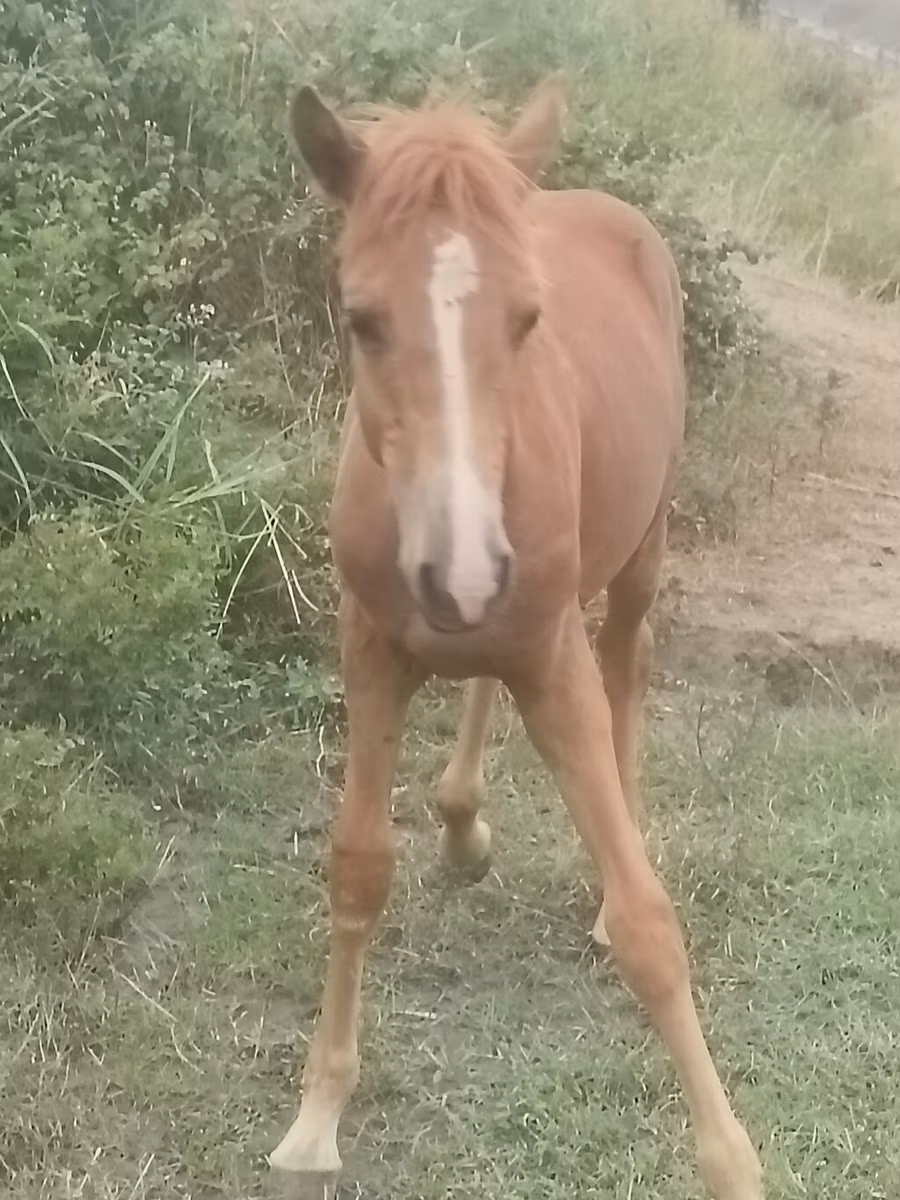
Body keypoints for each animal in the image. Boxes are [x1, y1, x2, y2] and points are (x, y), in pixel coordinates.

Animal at [270, 76, 764, 1200]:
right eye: (361, 319)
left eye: (529, 319)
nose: (461, 571)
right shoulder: (374, 647)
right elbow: (358, 867)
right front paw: (317, 1118)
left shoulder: (550, 650)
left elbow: (650, 925)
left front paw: (734, 1162)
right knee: (483, 682)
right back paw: (460, 815)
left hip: (635, 554)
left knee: (626, 666)